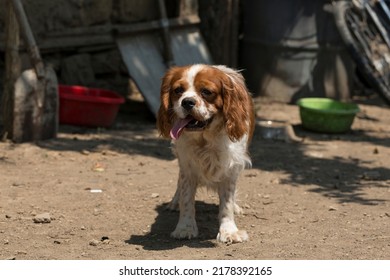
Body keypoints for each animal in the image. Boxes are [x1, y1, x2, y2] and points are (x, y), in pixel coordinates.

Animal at [157, 63, 254, 243]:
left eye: (206, 92)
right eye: (178, 90)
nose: (187, 102)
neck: (205, 139)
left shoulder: (231, 168)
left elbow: (227, 203)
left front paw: (229, 231)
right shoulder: (187, 165)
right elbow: (186, 199)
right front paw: (185, 227)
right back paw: (175, 202)